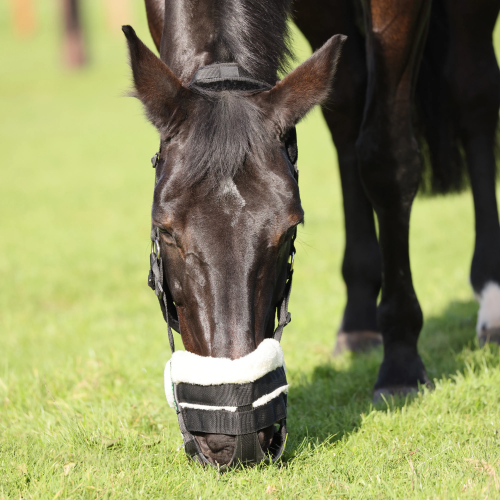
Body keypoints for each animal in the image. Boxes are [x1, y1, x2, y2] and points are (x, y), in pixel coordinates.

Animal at [121, 0, 500, 466]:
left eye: (290, 229)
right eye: (165, 228)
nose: (235, 439)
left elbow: (387, 159)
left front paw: (401, 364)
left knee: (473, 91)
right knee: (347, 107)